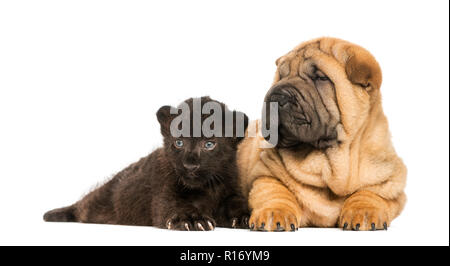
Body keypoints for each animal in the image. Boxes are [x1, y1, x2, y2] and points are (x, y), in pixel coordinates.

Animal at [239, 37, 408, 231]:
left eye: (320, 77)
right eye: (280, 77)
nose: (276, 97)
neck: (327, 163)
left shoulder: (390, 181)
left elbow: (370, 193)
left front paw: (364, 212)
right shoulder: (264, 173)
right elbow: (275, 192)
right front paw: (274, 213)